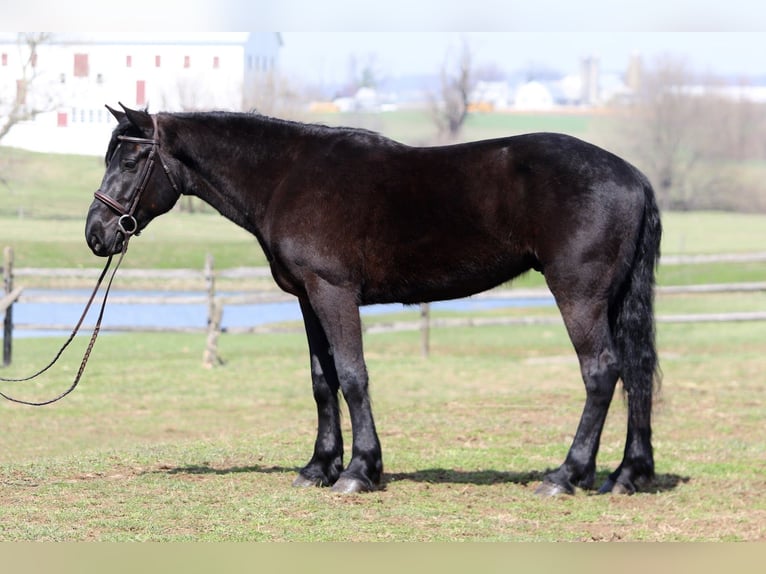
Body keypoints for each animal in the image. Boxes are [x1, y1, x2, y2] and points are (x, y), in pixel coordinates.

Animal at [85, 104, 661, 496]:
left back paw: (566, 475)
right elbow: (323, 381)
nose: (96, 234)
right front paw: (319, 467)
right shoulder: (307, 298)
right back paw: (627, 475)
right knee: (635, 371)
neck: (286, 176)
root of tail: (633, 176)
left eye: (133, 160)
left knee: (601, 371)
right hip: (613, 300)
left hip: (578, 294)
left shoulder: (334, 292)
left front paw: (360, 471)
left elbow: (353, 376)